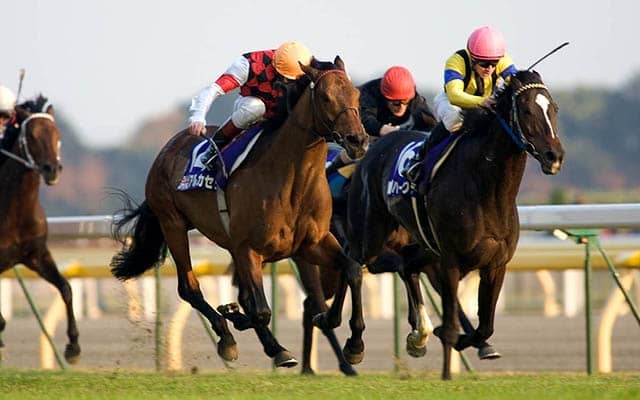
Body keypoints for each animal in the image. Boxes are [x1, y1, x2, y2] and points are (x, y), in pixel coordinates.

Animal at [0, 95, 81, 364]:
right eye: (33, 135)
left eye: (57, 134)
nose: (52, 169)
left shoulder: (36, 254)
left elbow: (66, 288)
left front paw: (73, 347)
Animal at [110, 57, 369, 375]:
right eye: (325, 97)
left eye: (356, 95)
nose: (358, 140)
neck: (292, 181)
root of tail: (168, 149)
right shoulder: (249, 248)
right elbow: (260, 310)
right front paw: (262, 338)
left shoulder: (313, 243)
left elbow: (352, 270)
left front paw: (352, 343)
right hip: (173, 224)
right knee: (190, 288)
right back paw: (228, 338)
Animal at [346, 70, 565, 379]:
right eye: (526, 110)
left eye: (553, 108)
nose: (554, 156)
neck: (488, 191)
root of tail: (376, 147)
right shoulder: (450, 260)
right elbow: (450, 325)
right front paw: (447, 373)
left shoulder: (495, 264)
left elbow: (485, 326)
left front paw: (464, 342)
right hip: (371, 233)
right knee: (353, 264)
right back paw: (354, 345)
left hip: (422, 244)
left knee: (407, 264)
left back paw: (419, 336)